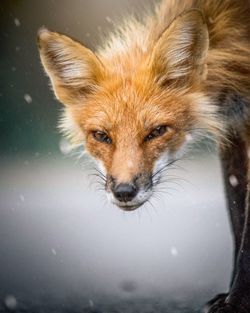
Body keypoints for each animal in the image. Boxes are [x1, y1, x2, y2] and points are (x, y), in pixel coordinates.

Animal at [37, 0, 250, 310]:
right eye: (101, 135)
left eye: (157, 131)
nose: (124, 192)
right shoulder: (233, 128)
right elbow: (236, 215)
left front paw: (237, 302)